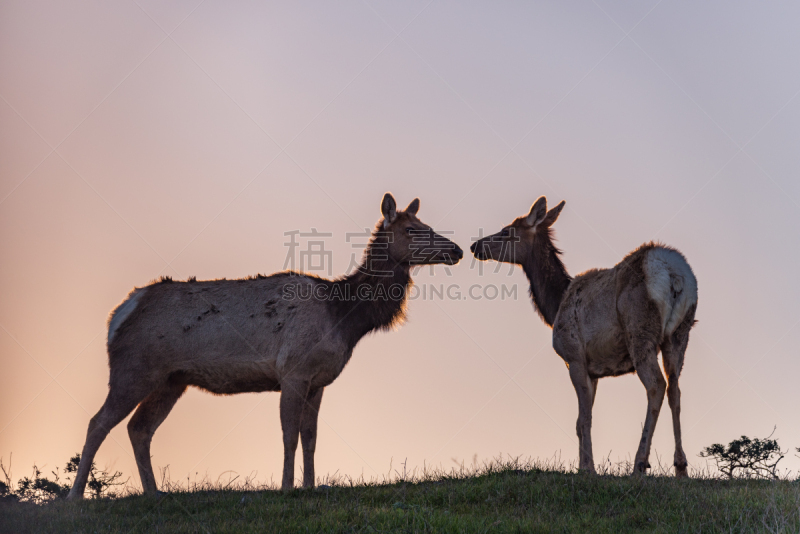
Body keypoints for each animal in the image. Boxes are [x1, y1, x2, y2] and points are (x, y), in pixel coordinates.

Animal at [68, 195, 462, 500]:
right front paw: (287, 487)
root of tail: (118, 315)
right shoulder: (293, 370)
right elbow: (289, 435)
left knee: (139, 429)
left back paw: (154, 493)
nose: (456, 250)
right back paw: (75, 497)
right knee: (98, 422)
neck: (344, 317)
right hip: (134, 368)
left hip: (171, 380)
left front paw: (310, 486)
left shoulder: (318, 381)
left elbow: (310, 437)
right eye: (412, 229)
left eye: (425, 224)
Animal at [472, 199, 696, 480]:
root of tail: (674, 274)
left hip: (640, 331)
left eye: (507, 231)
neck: (555, 305)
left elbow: (583, 419)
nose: (475, 246)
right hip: (680, 334)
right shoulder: (595, 369)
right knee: (675, 388)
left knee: (656, 385)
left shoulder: (574, 356)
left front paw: (587, 468)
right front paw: (585, 464)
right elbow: (583, 418)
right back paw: (681, 467)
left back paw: (640, 464)